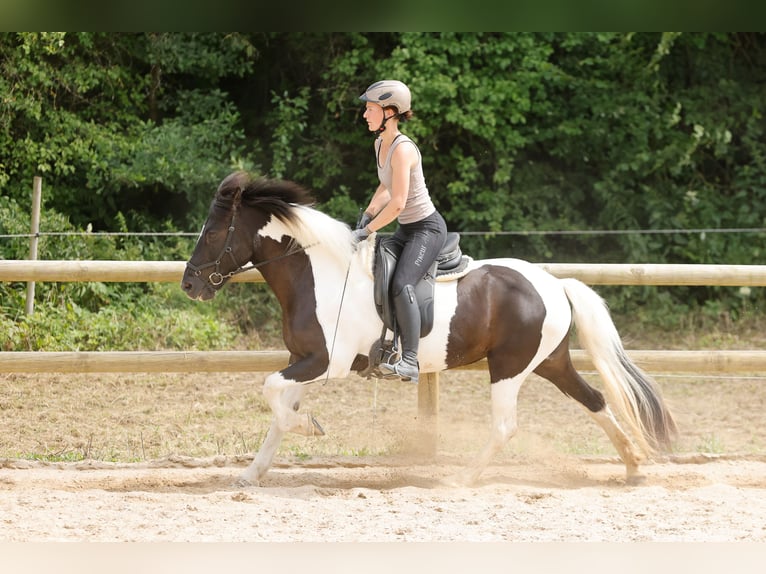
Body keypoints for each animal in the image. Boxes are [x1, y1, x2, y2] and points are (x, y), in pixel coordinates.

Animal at [181, 171, 677, 486]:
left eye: (212, 232)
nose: (189, 285)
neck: (319, 275)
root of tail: (554, 283)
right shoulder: (303, 361)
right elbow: (278, 412)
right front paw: (252, 472)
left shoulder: (326, 362)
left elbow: (272, 394)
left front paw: (311, 428)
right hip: (549, 363)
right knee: (595, 400)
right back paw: (633, 467)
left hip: (509, 368)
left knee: (505, 426)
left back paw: (463, 479)